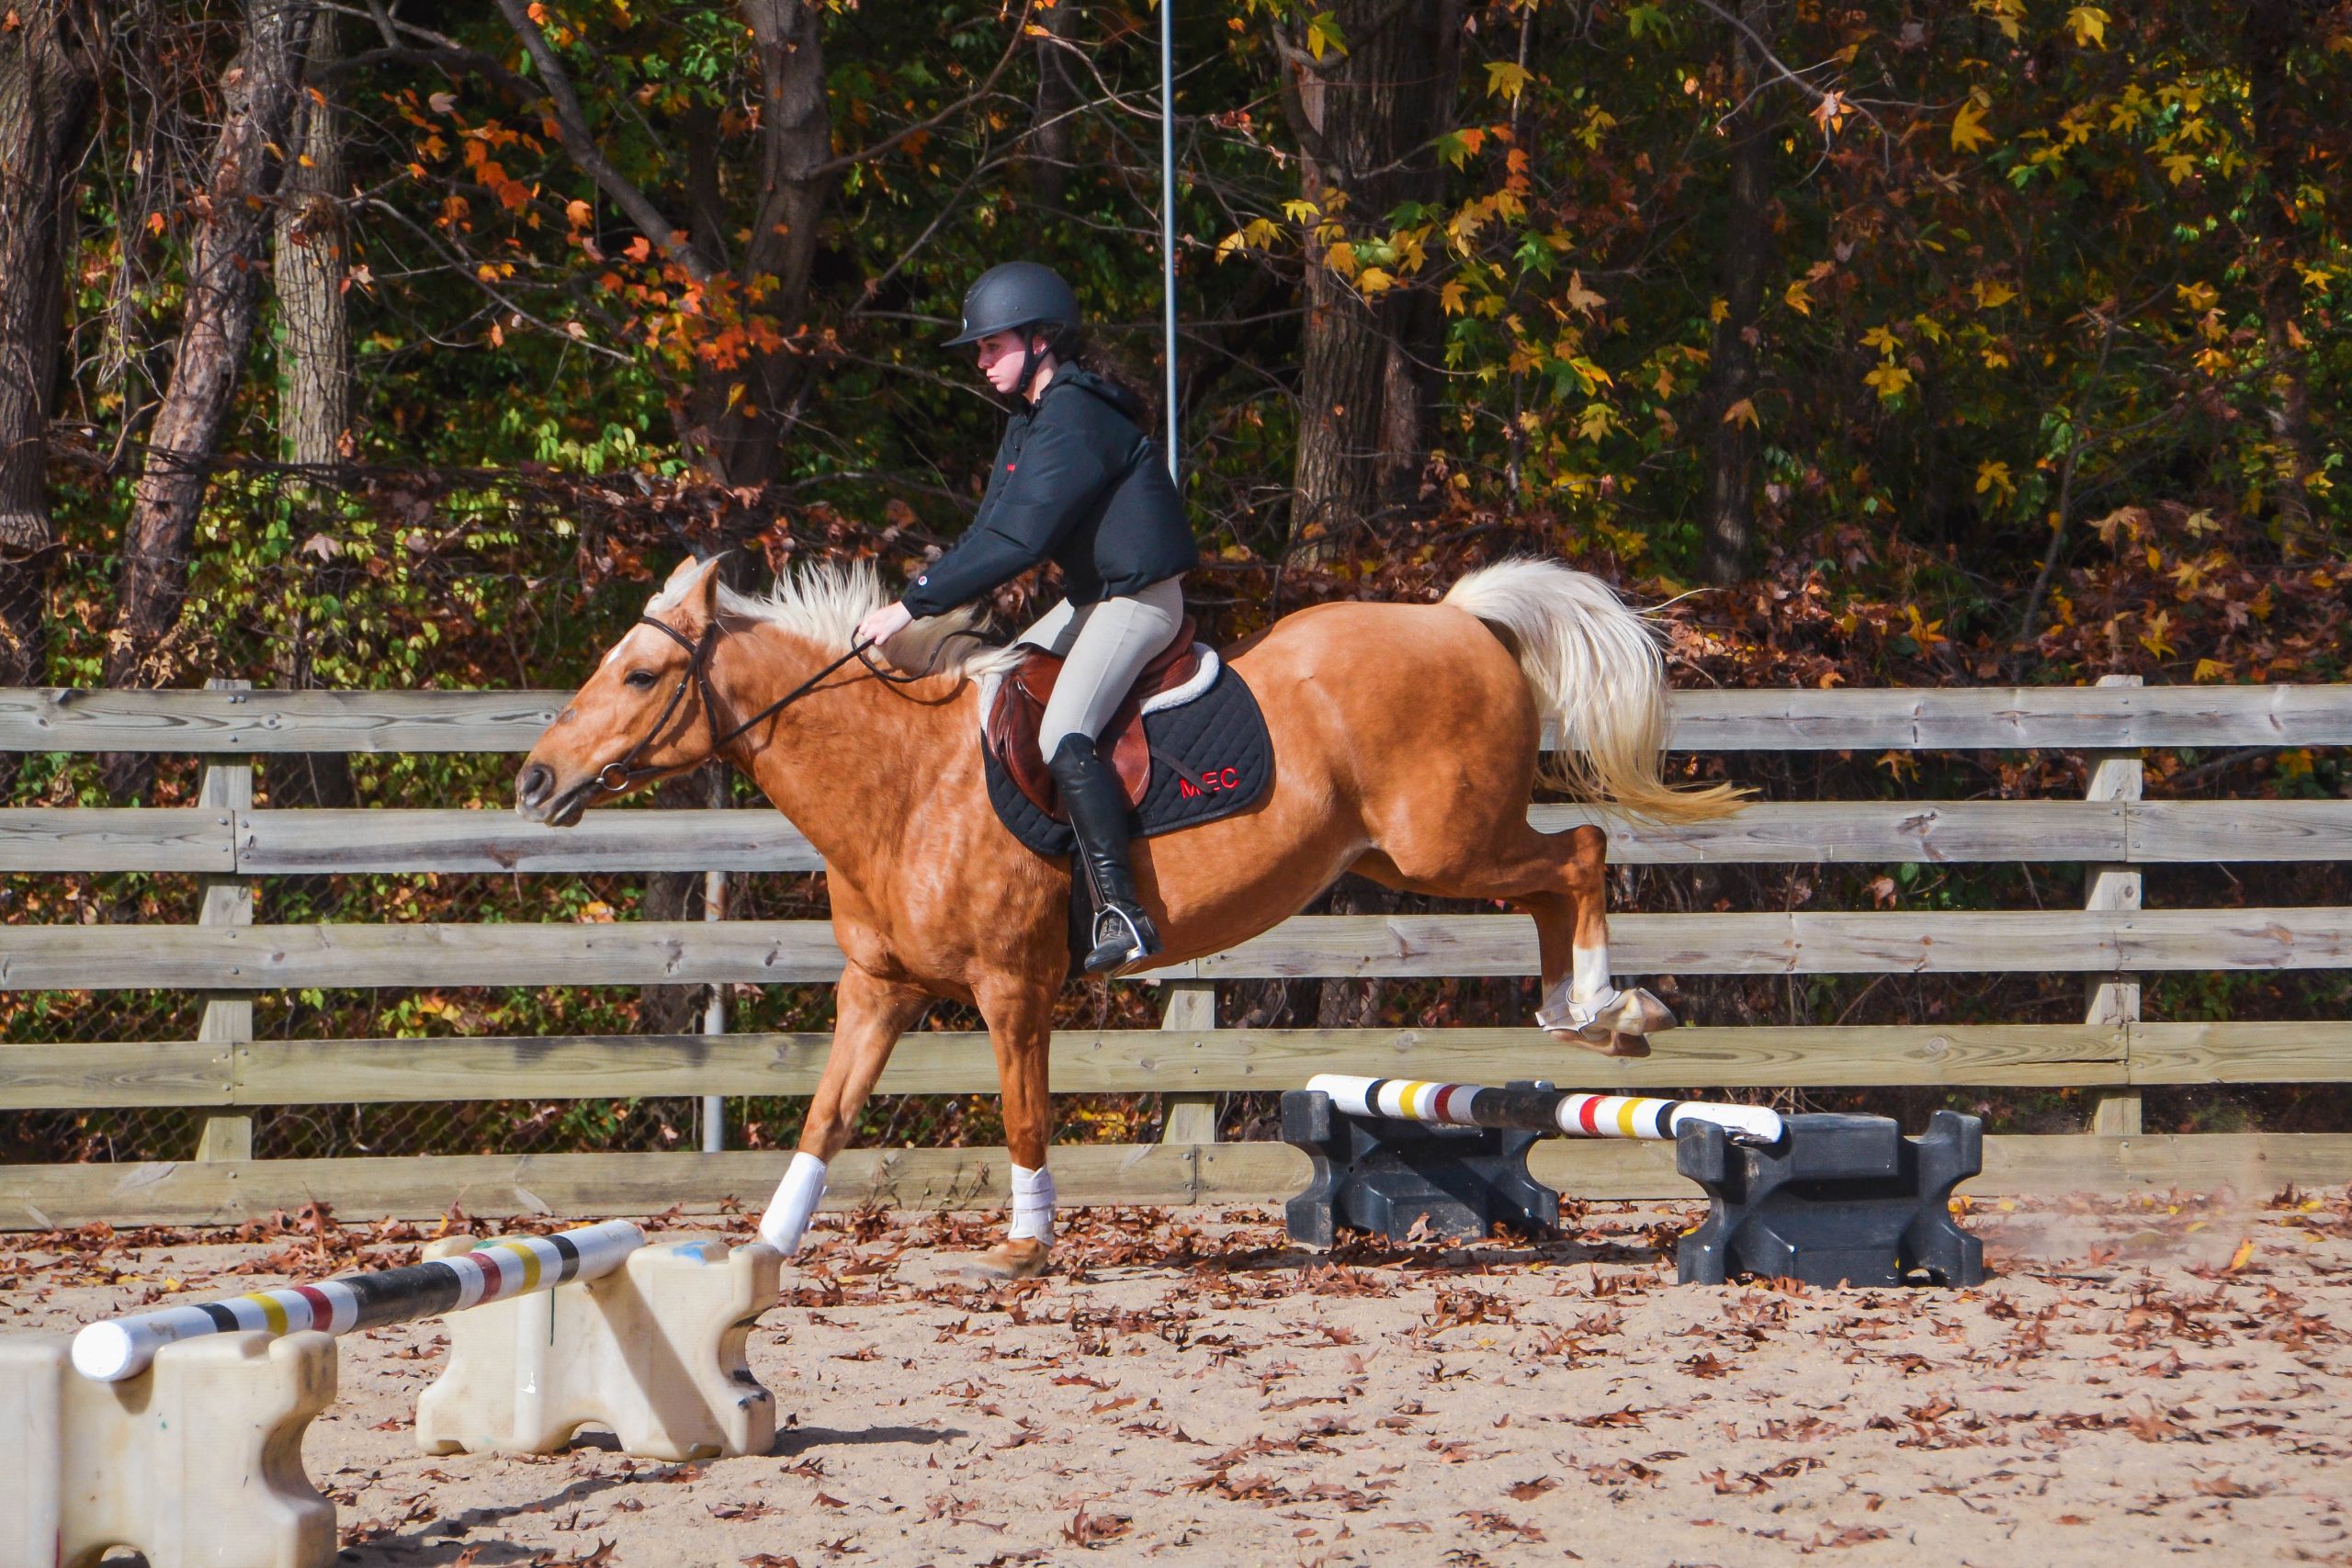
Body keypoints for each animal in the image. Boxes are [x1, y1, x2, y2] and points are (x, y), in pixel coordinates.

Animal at [516, 554, 1742, 1276]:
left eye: (638, 677)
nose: (533, 781)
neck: (902, 780)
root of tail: (1457, 620)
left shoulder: (1012, 989)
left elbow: (1021, 1117)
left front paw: (1024, 1245)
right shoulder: (880, 990)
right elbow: (825, 1119)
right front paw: (762, 1253)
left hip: (1444, 845)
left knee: (1578, 855)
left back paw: (1606, 1009)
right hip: (1435, 851)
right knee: (1555, 876)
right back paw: (1578, 1015)